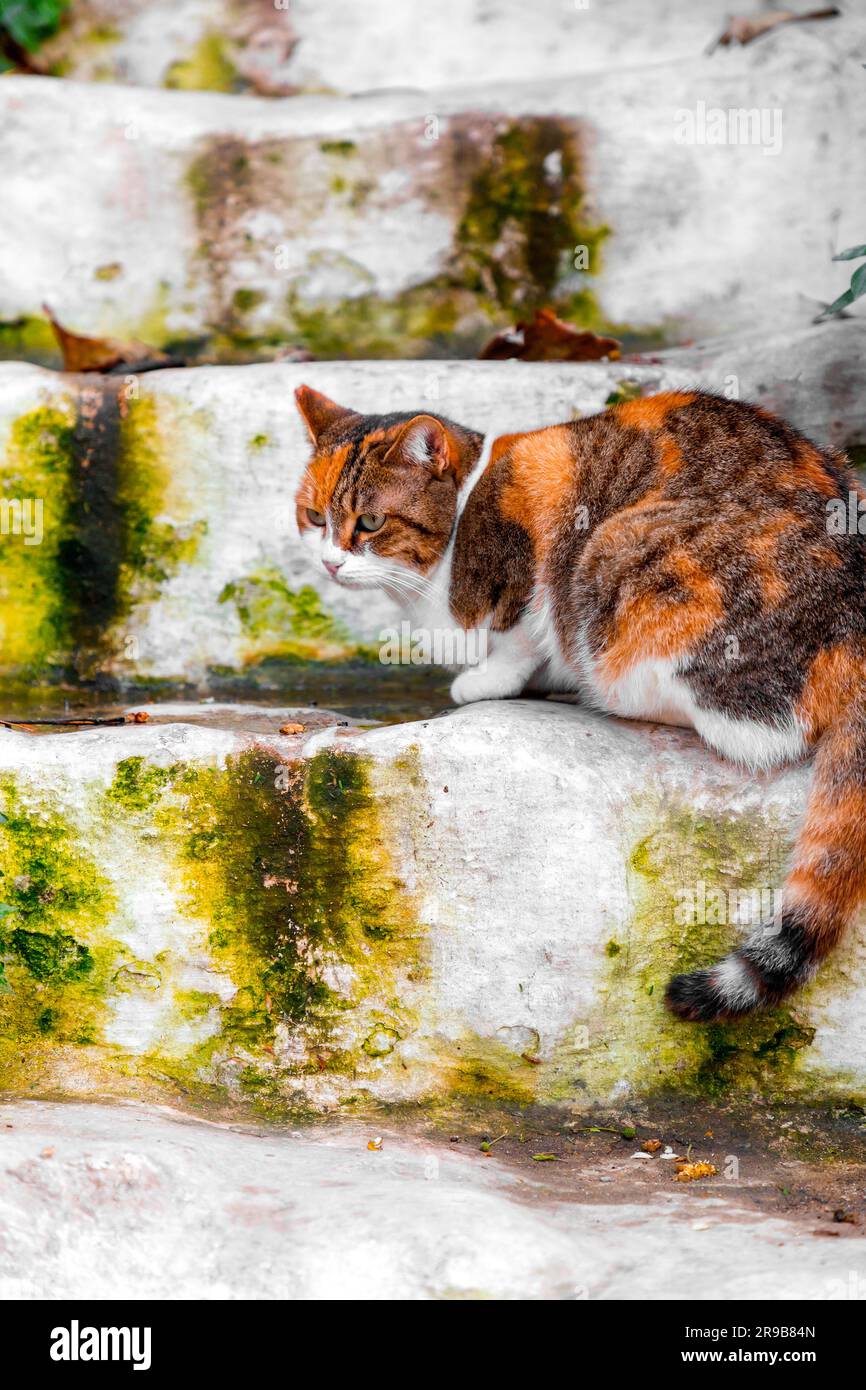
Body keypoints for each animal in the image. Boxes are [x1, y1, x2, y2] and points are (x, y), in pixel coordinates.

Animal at [293, 386, 866, 1028]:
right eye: (314, 517)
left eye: (369, 522)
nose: (330, 563)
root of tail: (854, 620)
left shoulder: (537, 509)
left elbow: (520, 632)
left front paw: (488, 679)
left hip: (619, 557)